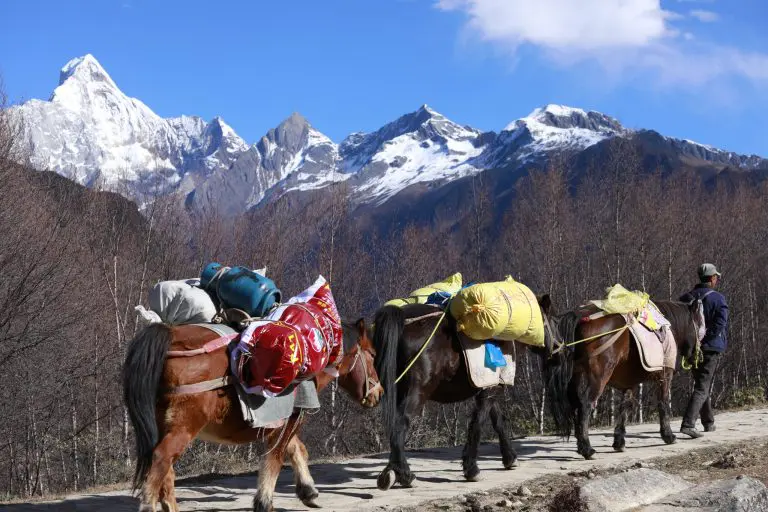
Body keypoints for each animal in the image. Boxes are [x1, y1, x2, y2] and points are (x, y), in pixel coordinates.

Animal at [122, 319, 382, 512]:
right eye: (371, 354)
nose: (378, 393)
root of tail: (171, 336)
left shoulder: (283, 423)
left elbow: (296, 449)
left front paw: (308, 490)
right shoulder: (288, 423)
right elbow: (274, 460)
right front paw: (265, 502)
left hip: (164, 425)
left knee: (166, 470)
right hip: (182, 428)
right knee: (161, 459)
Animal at [371, 295, 558, 490]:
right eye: (552, 321)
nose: (559, 350)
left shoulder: (490, 387)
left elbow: (498, 421)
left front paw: (510, 458)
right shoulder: (490, 390)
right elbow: (478, 424)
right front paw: (471, 468)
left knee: (393, 426)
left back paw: (392, 471)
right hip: (416, 393)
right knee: (400, 424)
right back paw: (405, 474)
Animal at [544, 300, 704, 460]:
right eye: (700, 325)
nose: (697, 356)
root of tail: (580, 316)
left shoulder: (629, 383)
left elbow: (624, 407)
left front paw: (619, 441)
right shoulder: (665, 376)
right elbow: (663, 403)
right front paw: (668, 435)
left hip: (575, 376)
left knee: (576, 404)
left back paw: (581, 445)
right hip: (599, 377)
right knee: (585, 405)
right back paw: (587, 449)